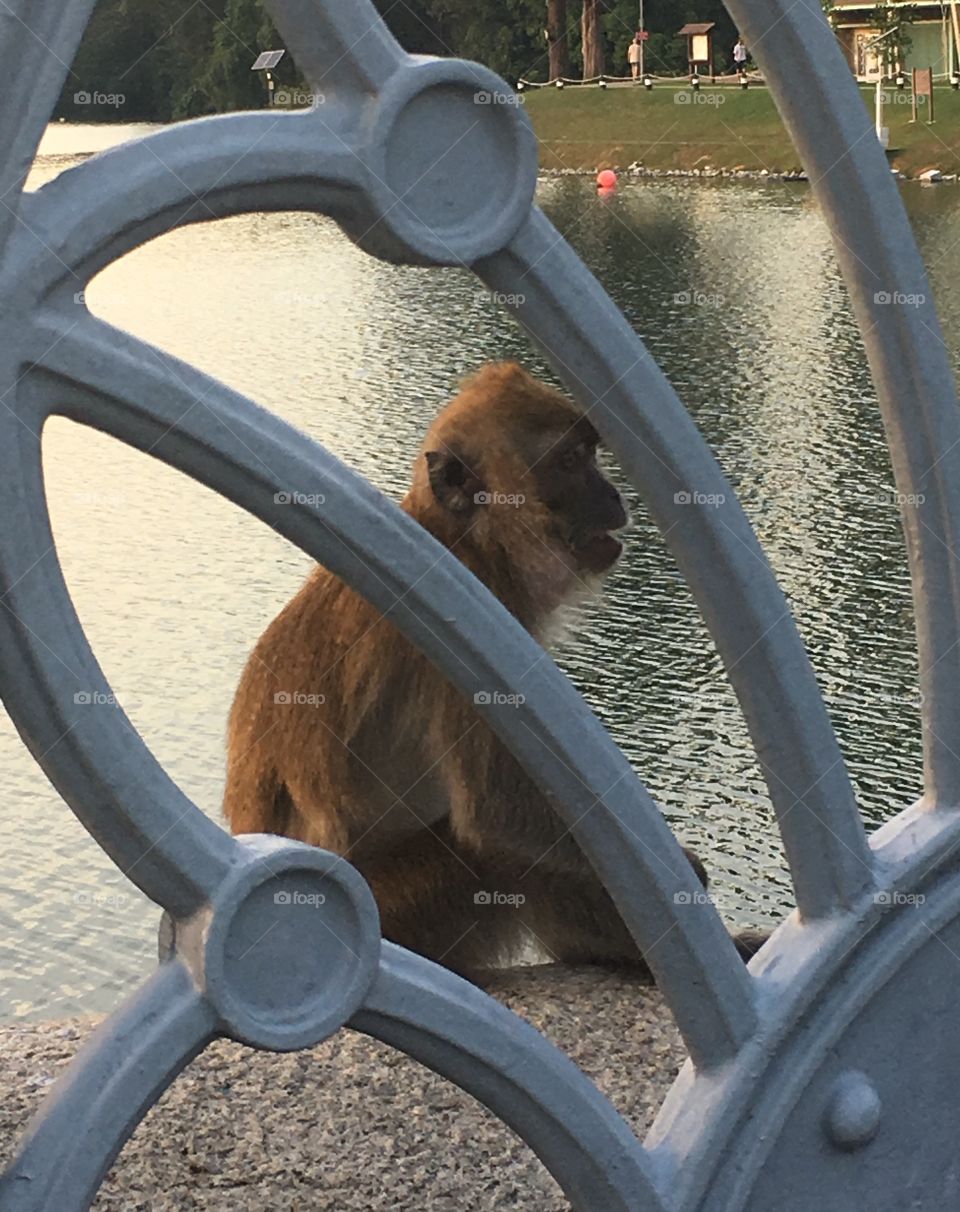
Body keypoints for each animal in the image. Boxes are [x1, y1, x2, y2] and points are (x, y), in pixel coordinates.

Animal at [224, 362, 766, 979]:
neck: (468, 540)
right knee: (496, 861)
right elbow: (496, 814)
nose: (611, 494)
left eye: (589, 455)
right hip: (403, 914)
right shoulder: (471, 624)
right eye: (568, 461)